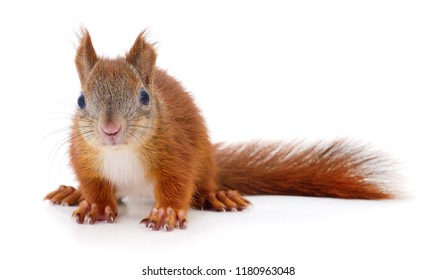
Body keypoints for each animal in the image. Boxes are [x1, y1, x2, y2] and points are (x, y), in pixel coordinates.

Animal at [44, 28, 396, 231]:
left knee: (203, 184)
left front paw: (166, 213)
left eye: (144, 96)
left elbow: (177, 184)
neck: (121, 151)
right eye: (81, 100)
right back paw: (74, 193)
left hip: (205, 164)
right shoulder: (84, 156)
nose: (110, 129)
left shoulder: (176, 152)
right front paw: (95, 205)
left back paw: (218, 195)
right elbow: (95, 185)